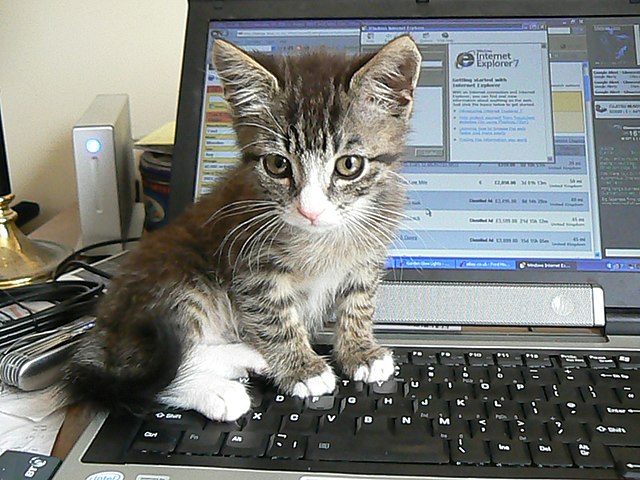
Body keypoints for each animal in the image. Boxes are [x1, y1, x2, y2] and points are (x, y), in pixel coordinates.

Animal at [65, 35, 422, 422]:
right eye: (277, 164)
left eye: (349, 165)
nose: (309, 210)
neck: (321, 238)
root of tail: (105, 331)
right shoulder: (251, 266)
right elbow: (275, 317)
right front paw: (302, 369)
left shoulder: (368, 254)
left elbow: (359, 302)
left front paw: (360, 351)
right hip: (179, 279)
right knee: (157, 367)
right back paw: (220, 387)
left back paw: (245, 356)